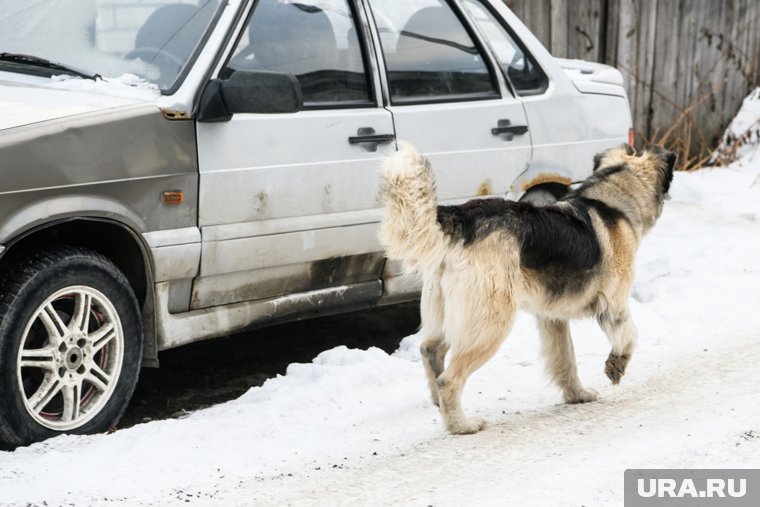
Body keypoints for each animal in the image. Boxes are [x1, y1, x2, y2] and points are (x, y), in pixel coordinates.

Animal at [380, 142, 676, 432]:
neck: (611, 200)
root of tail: (463, 222)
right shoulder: (614, 305)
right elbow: (630, 337)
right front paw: (616, 365)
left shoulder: (552, 318)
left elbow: (566, 359)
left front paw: (577, 395)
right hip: (490, 324)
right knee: (449, 379)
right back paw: (461, 425)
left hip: (447, 313)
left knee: (430, 351)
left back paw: (440, 406)